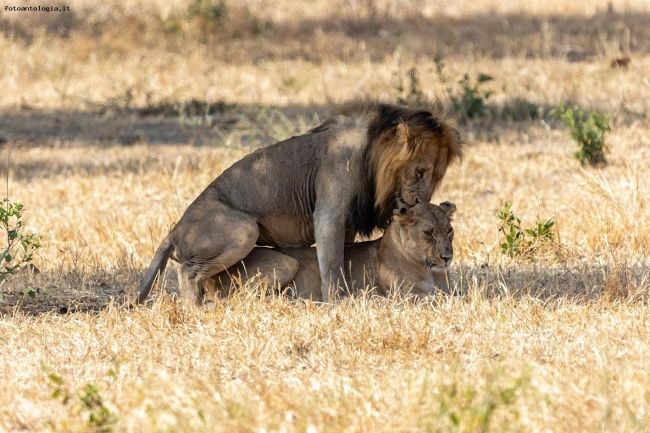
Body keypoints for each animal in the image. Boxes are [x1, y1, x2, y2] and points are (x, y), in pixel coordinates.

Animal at [209, 201, 456, 298]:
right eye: (428, 233)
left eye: (449, 231)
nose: (447, 257)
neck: (428, 269)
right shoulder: (405, 296)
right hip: (288, 263)